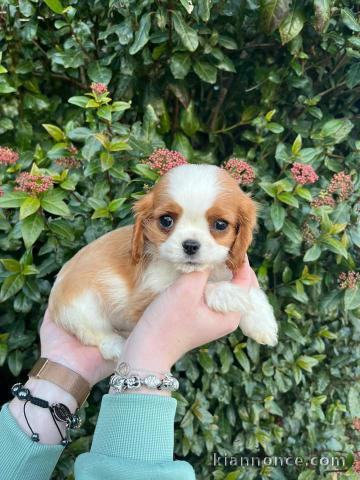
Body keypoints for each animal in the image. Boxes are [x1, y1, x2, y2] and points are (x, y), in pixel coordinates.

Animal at [48, 163, 278, 358]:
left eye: (220, 224)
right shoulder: (142, 301)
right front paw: (232, 294)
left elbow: (254, 293)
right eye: (166, 220)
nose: (190, 245)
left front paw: (262, 321)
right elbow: (208, 288)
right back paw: (117, 346)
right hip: (81, 305)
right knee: (93, 332)